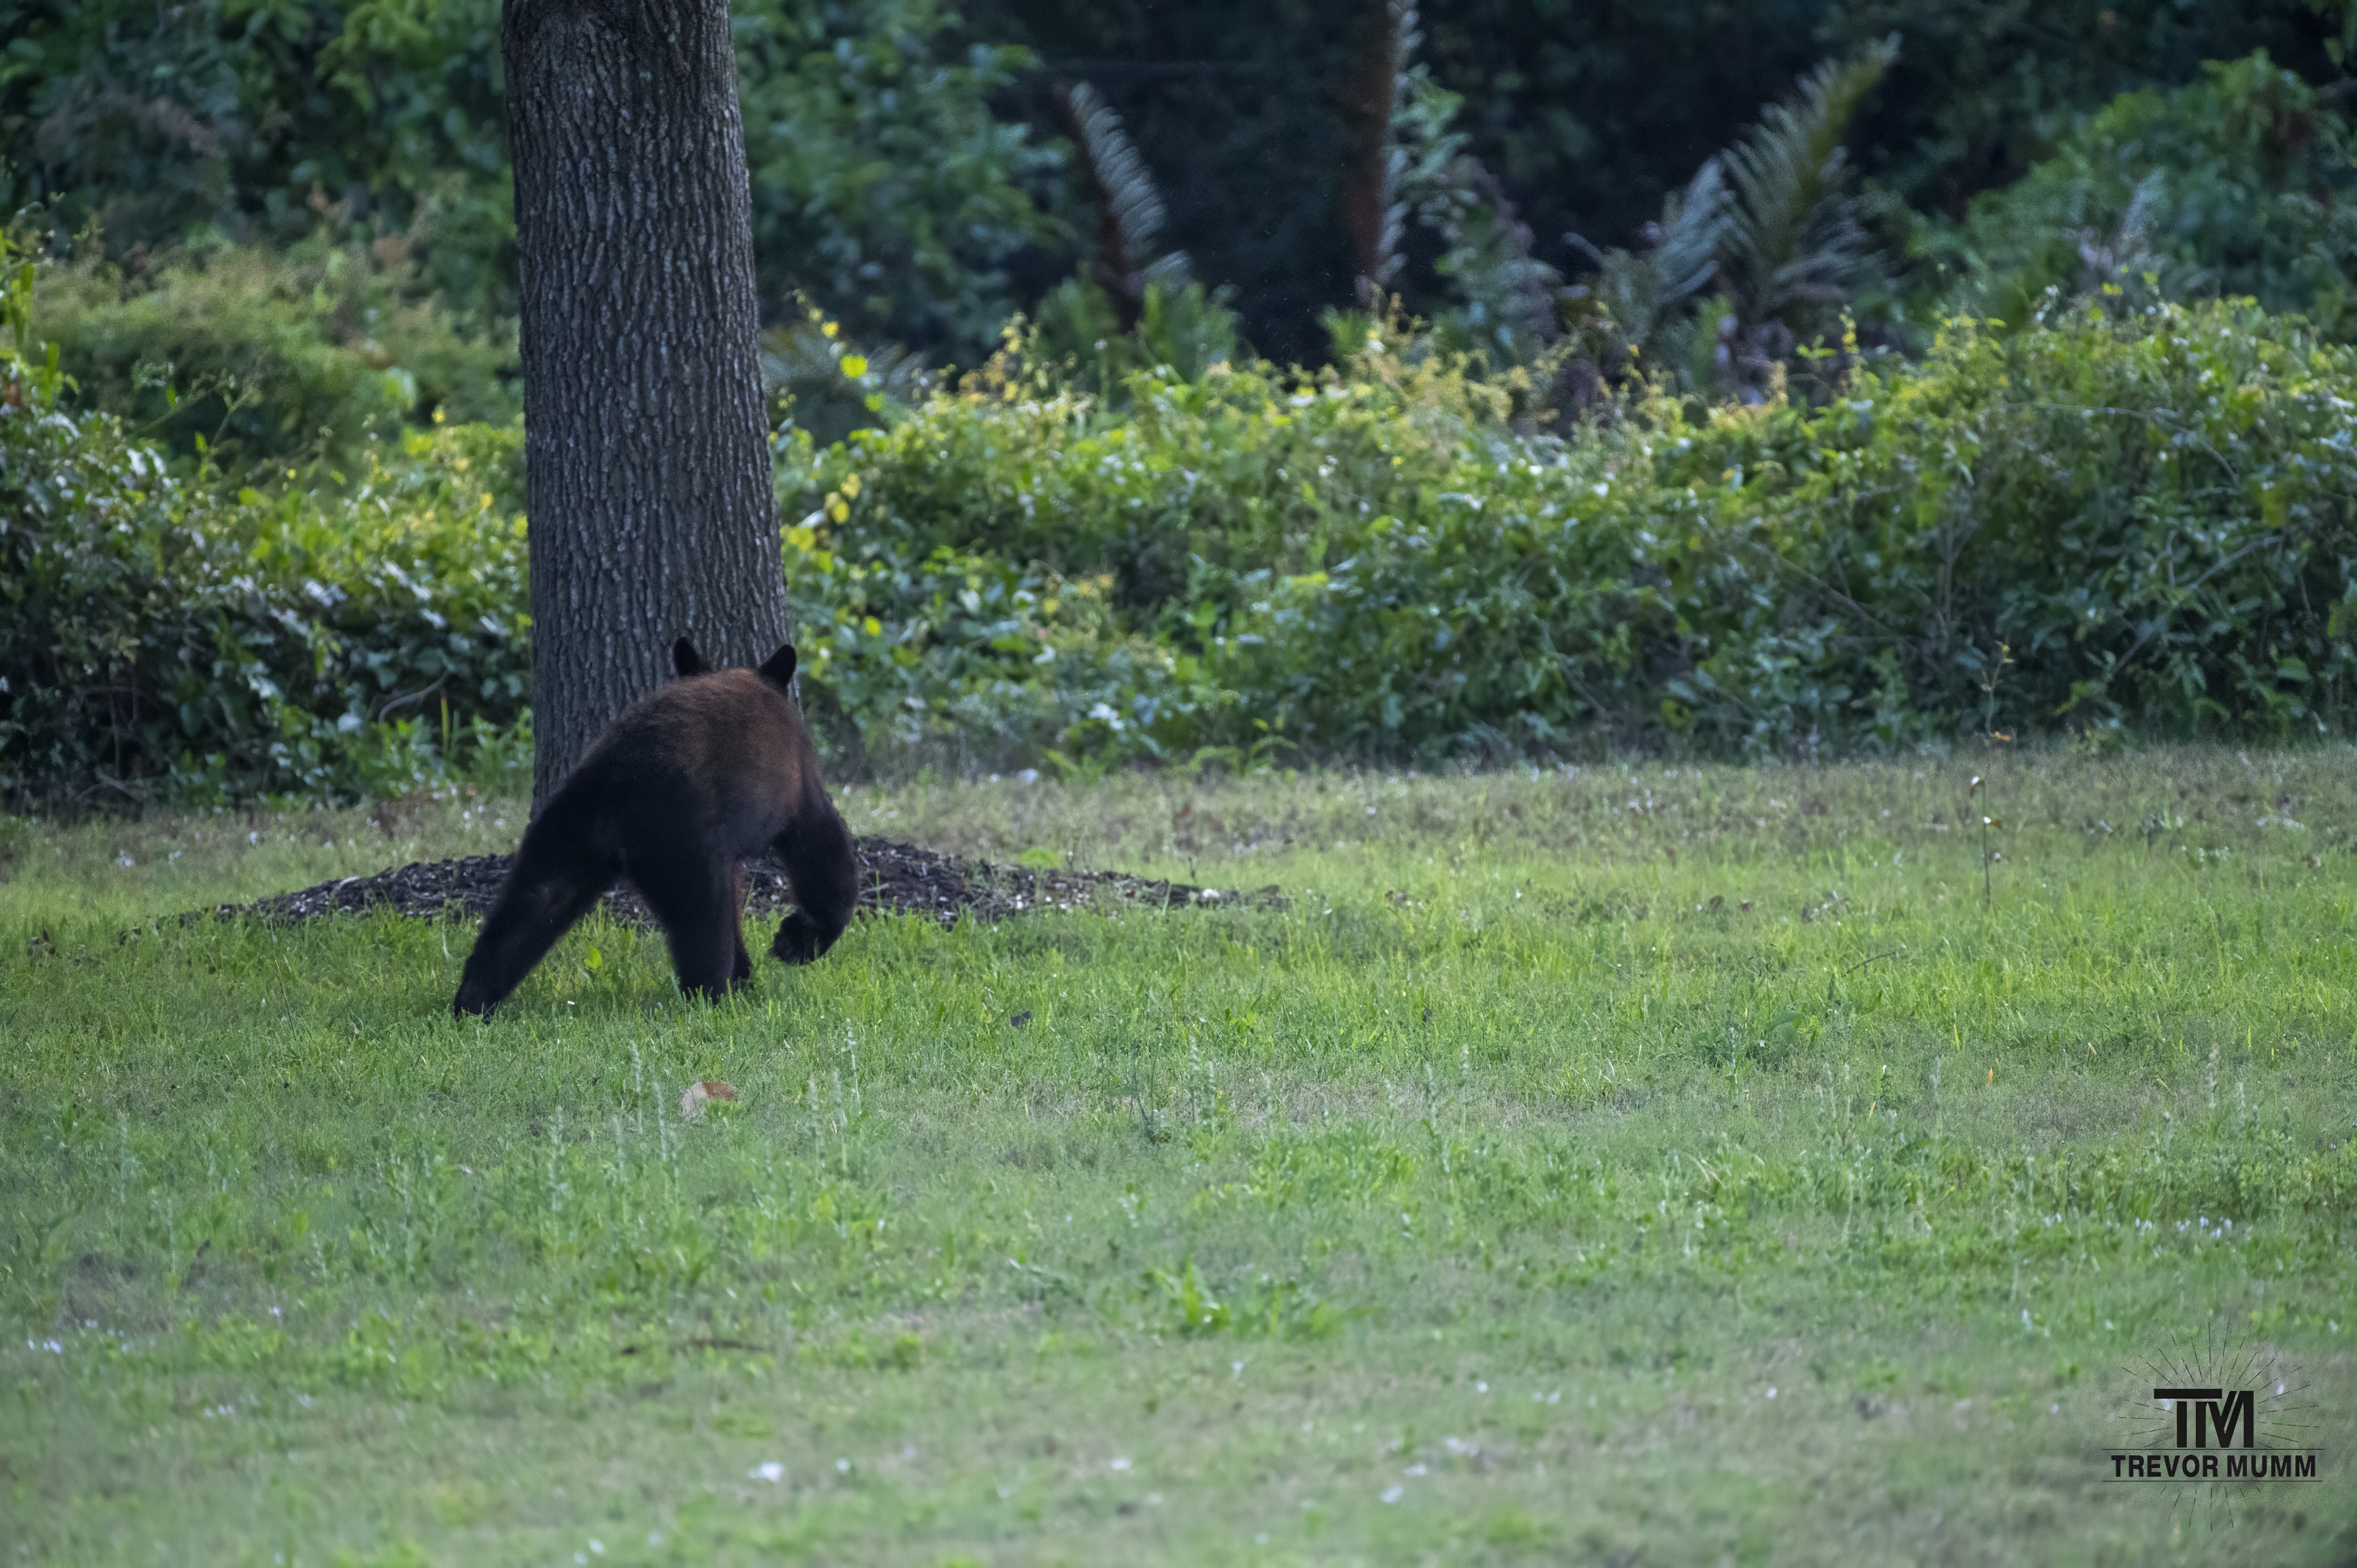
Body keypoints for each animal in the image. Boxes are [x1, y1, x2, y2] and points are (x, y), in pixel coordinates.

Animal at [451, 637, 859, 1018]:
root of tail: (619, 789)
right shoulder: (796, 786)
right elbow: (821, 850)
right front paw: (799, 941)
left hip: (568, 829)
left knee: (532, 901)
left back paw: (472, 1002)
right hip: (682, 845)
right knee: (703, 926)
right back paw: (713, 1000)